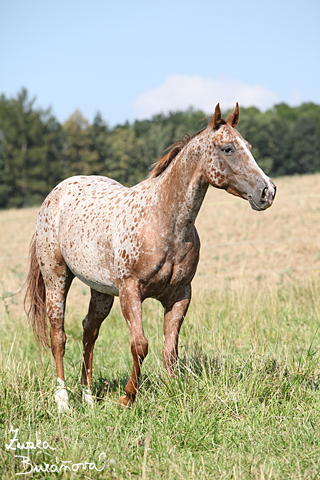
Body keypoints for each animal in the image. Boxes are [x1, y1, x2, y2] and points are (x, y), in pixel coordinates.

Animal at [25, 103, 276, 410]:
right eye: (227, 148)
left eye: (248, 146)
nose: (267, 191)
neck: (164, 221)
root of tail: (57, 192)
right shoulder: (131, 291)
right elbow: (140, 345)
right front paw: (127, 396)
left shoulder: (180, 294)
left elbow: (170, 350)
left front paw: (173, 392)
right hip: (57, 279)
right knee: (58, 336)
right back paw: (63, 400)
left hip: (101, 291)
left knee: (88, 331)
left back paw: (88, 396)